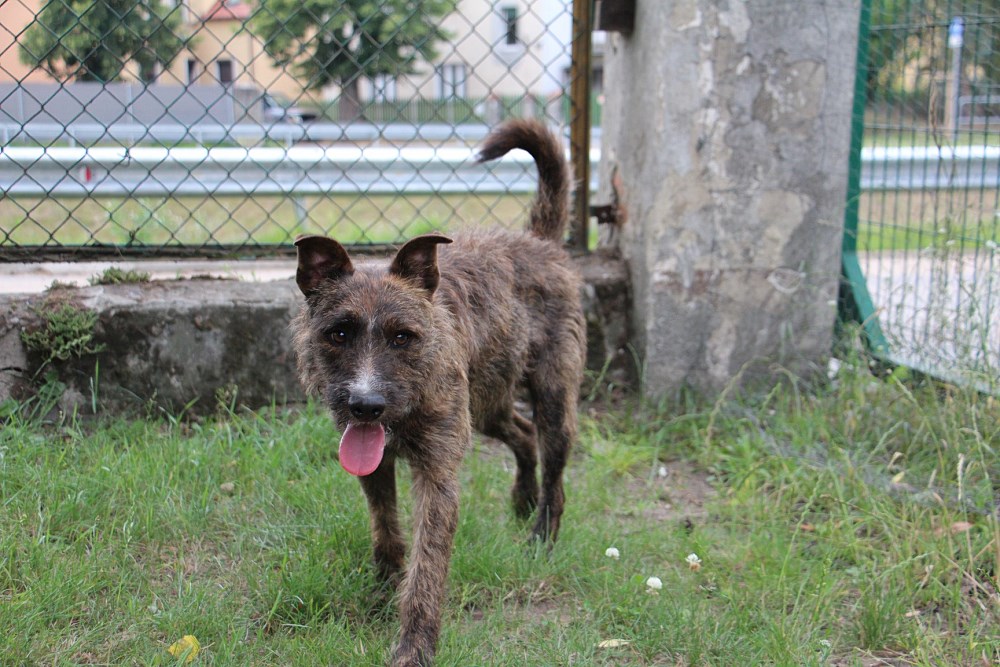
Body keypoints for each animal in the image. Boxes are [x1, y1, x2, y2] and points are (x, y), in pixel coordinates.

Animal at [290, 119, 586, 666]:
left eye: (403, 337)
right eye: (338, 333)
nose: (366, 405)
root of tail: (538, 241)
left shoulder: (438, 477)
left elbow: (428, 567)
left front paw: (414, 646)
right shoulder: (374, 464)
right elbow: (386, 529)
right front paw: (383, 589)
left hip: (555, 398)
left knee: (554, 467)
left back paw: (540, 534)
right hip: (486, 405)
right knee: (522, 432)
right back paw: (521, 499)